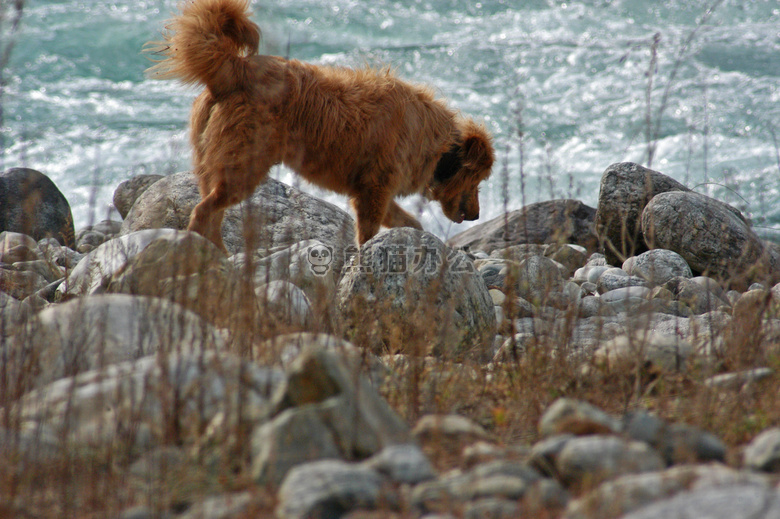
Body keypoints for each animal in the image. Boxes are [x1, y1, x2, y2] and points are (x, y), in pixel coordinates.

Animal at [146, 0, 494, 252]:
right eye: (478, 179)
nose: (478, 214)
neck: (440, 147)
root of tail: (236, 69)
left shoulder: (376, 191)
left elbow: (410, 223)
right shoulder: (373, 193)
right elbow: (368, 234)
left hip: (217, 166)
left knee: (211, 211)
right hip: (243, 168)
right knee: (202, 211)